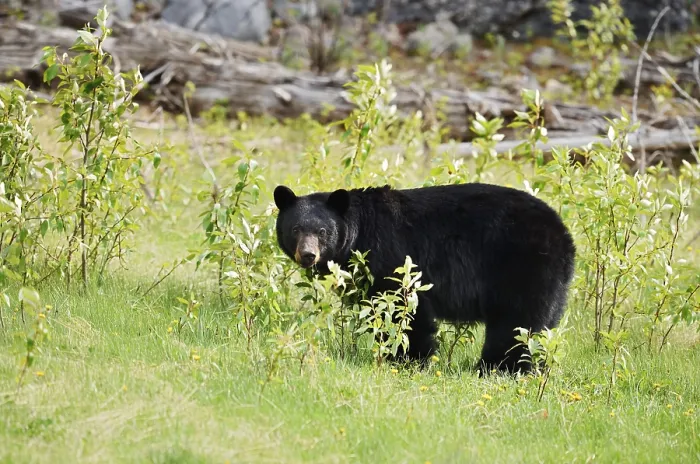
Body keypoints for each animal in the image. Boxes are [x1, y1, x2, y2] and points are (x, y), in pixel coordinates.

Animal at [273, 182, 576, 374]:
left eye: (323, 231)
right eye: (296, 228)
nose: (308, 255)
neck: (360, 235)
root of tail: (563, 234)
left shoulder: (393, 257)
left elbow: (404, 309)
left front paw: (407, 359)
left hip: (520, 266)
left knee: (516, 323)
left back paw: (496, 368)